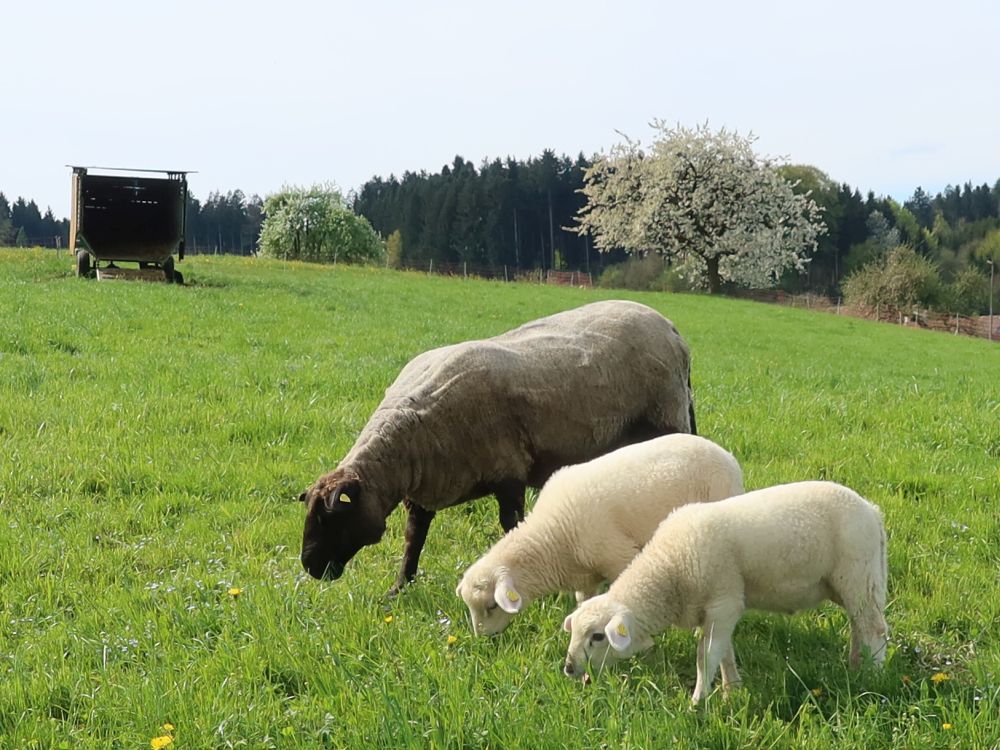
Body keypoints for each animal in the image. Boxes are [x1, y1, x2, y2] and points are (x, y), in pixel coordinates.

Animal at [299, 300, 696, 595]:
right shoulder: (426, 492)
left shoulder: (509, 473)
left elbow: (511, 527)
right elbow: (414, 540)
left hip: (668, 417)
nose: (309, 566)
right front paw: (399, 589)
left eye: (331, 518)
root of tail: (673, 330)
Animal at [456, 434, 743, 636]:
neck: (552, 538)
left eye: (492, 606)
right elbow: (583, 602)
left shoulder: (618, 556)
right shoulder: (584, 577)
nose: (483, 638)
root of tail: (729, 459)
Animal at [562, 481, 889, 703]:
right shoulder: (714, 611)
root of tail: (872, 510)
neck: (670, 567)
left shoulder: (724, 602)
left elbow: (706, 656)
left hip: (858, 574)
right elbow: (723, 652)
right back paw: (855, 665)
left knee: (874, 628)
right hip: (850, 582)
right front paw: (732, 691)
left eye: (597, 637)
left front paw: (697, 703)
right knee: (859, 624)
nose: (568, 668)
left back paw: (873, 676)